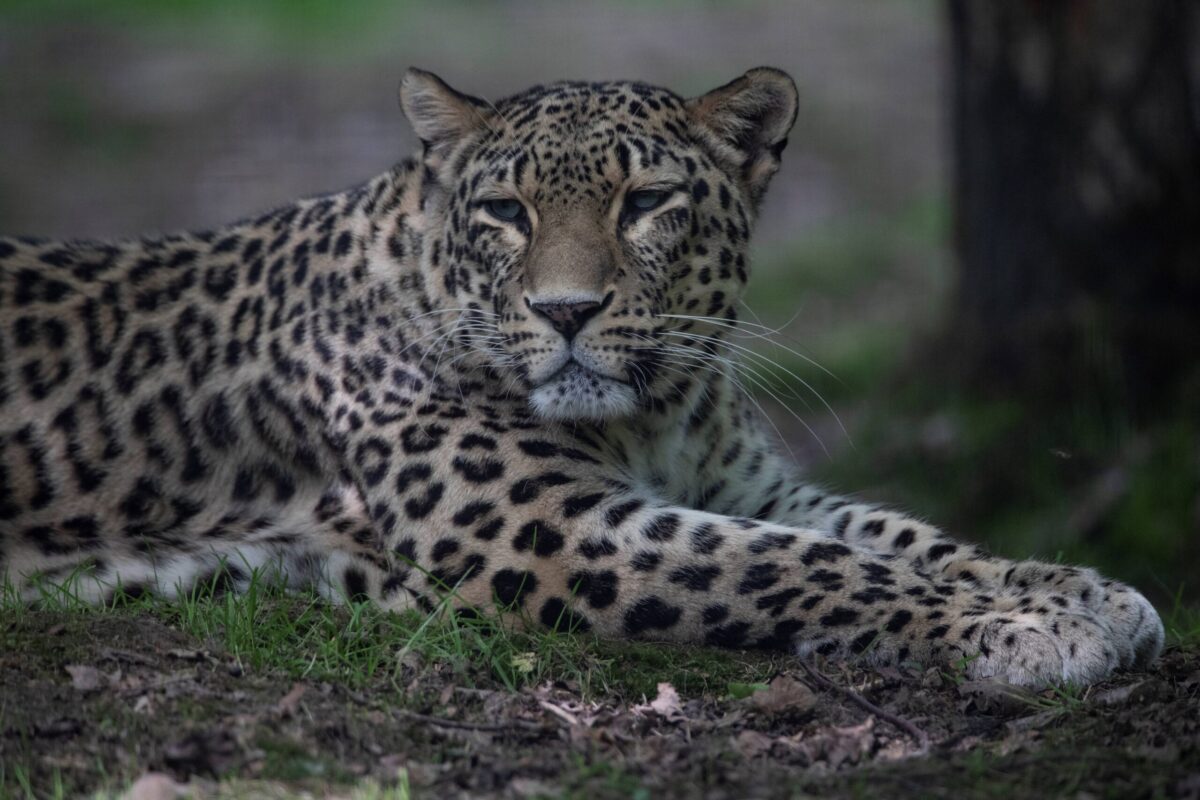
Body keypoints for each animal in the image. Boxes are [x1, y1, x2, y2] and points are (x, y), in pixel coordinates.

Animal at [0, 67, 1161, 690]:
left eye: (645, 202)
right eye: (505, 212)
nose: (566, 312)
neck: (652, 419)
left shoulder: (746, 484)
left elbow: (898, 534)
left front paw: (1085, 591)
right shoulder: (549, 526)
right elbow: (805, 564)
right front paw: (1033, 630)